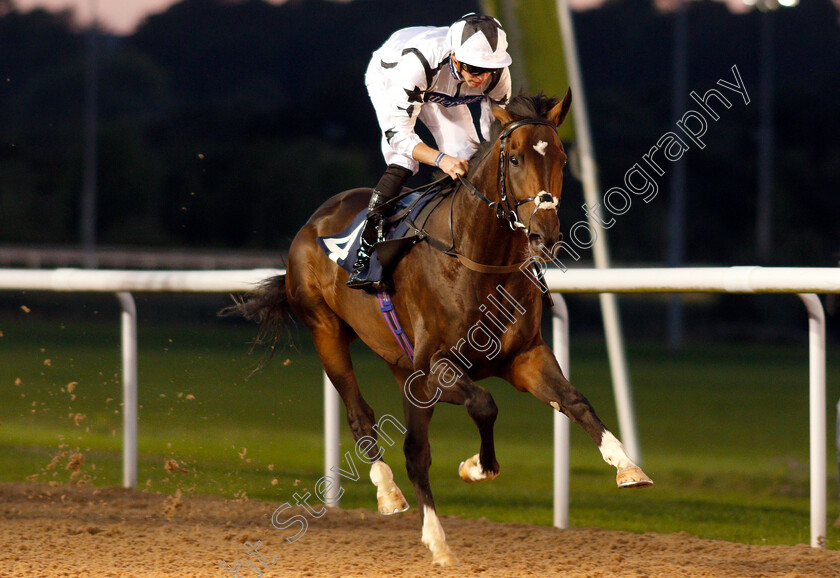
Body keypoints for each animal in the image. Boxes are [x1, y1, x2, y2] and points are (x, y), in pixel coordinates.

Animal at [226, 90, 652, 564]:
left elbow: (575, 401)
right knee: (365, 420)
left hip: (401, 366)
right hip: (326, 331)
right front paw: (477, 467)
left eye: (561, 157)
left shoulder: (524, 358)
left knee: (415, 449)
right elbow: (484, 404)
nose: (546, 235)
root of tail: (312, 222)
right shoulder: (435, 367)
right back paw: (398, 502)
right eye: (516, 158)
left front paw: (628, 467)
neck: (478, 259)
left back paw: (433, 534)